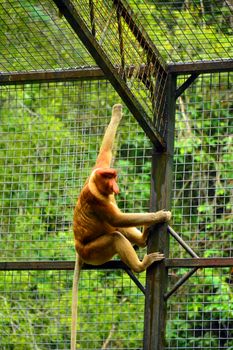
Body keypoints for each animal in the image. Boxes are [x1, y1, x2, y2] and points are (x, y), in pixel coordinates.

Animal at [71, 104, 171, 350]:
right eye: (109, 178)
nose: (115, 186)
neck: (96, 185)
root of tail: (79, 249)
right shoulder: (98, 201)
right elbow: (117, 220)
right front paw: (160, 215)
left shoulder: (96, 169)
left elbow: (104, 153)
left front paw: (117, 112)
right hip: (94, 253)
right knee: (115, 235)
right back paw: (141, 264)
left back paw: (143, 239)